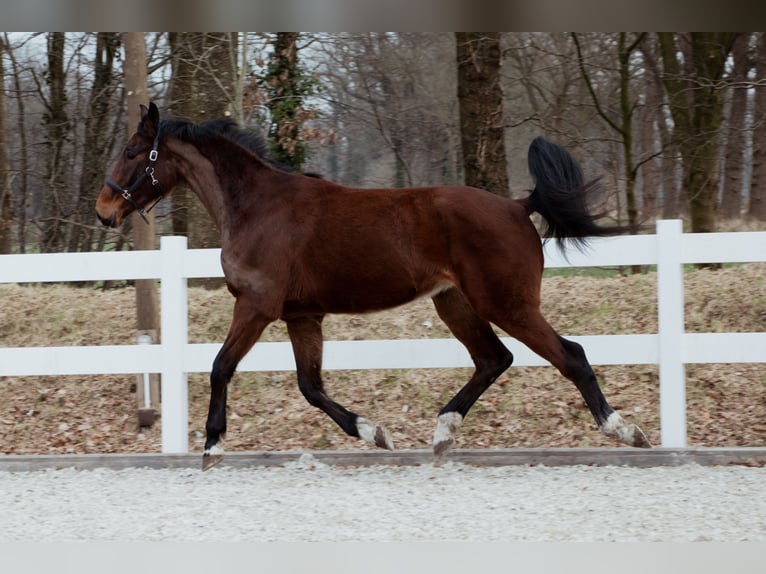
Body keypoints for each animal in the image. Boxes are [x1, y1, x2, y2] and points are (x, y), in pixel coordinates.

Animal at [94, 104, 648, 472]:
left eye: (131, 152)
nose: (103, 211)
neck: (257, 207)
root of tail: (517, 205)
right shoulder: (302, 315)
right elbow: (311, 387)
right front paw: (376, 433)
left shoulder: (257, 306)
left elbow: (219, 367)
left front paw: (212, 448)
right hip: (456, 304)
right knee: (494, 359)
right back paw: (442, 433)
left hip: (506, 303)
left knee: (570, 355)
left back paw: (626, 431)